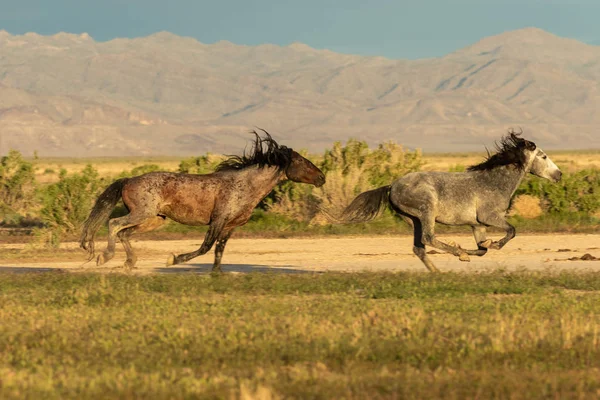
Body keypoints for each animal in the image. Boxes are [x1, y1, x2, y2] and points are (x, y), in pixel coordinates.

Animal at [79, 131, 326, 272]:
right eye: (302, 161)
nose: (322, 177)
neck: (243, 185)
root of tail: (129, 179)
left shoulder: (230, 226)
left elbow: (219, 250)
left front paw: (216, 274)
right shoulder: (218, 220)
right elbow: (205, 247)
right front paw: (173, 260)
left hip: (154, 220)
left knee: (124, 233)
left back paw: (129, 263)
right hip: (141, 213)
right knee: (114, 224)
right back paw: (104, 257)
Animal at [342, 131, 564, 272]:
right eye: (543, 156)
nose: (559, 175)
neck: (495, 182)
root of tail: (392, 186)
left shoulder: (477, 225)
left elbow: (482, 249)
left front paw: (478, 246)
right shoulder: (490, 217)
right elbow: (511, 231)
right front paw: (489, 246)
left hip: (413, 220)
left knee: (419, 248)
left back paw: (438, 273)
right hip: (426, 212)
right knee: (428, 239)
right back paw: (454, 254)